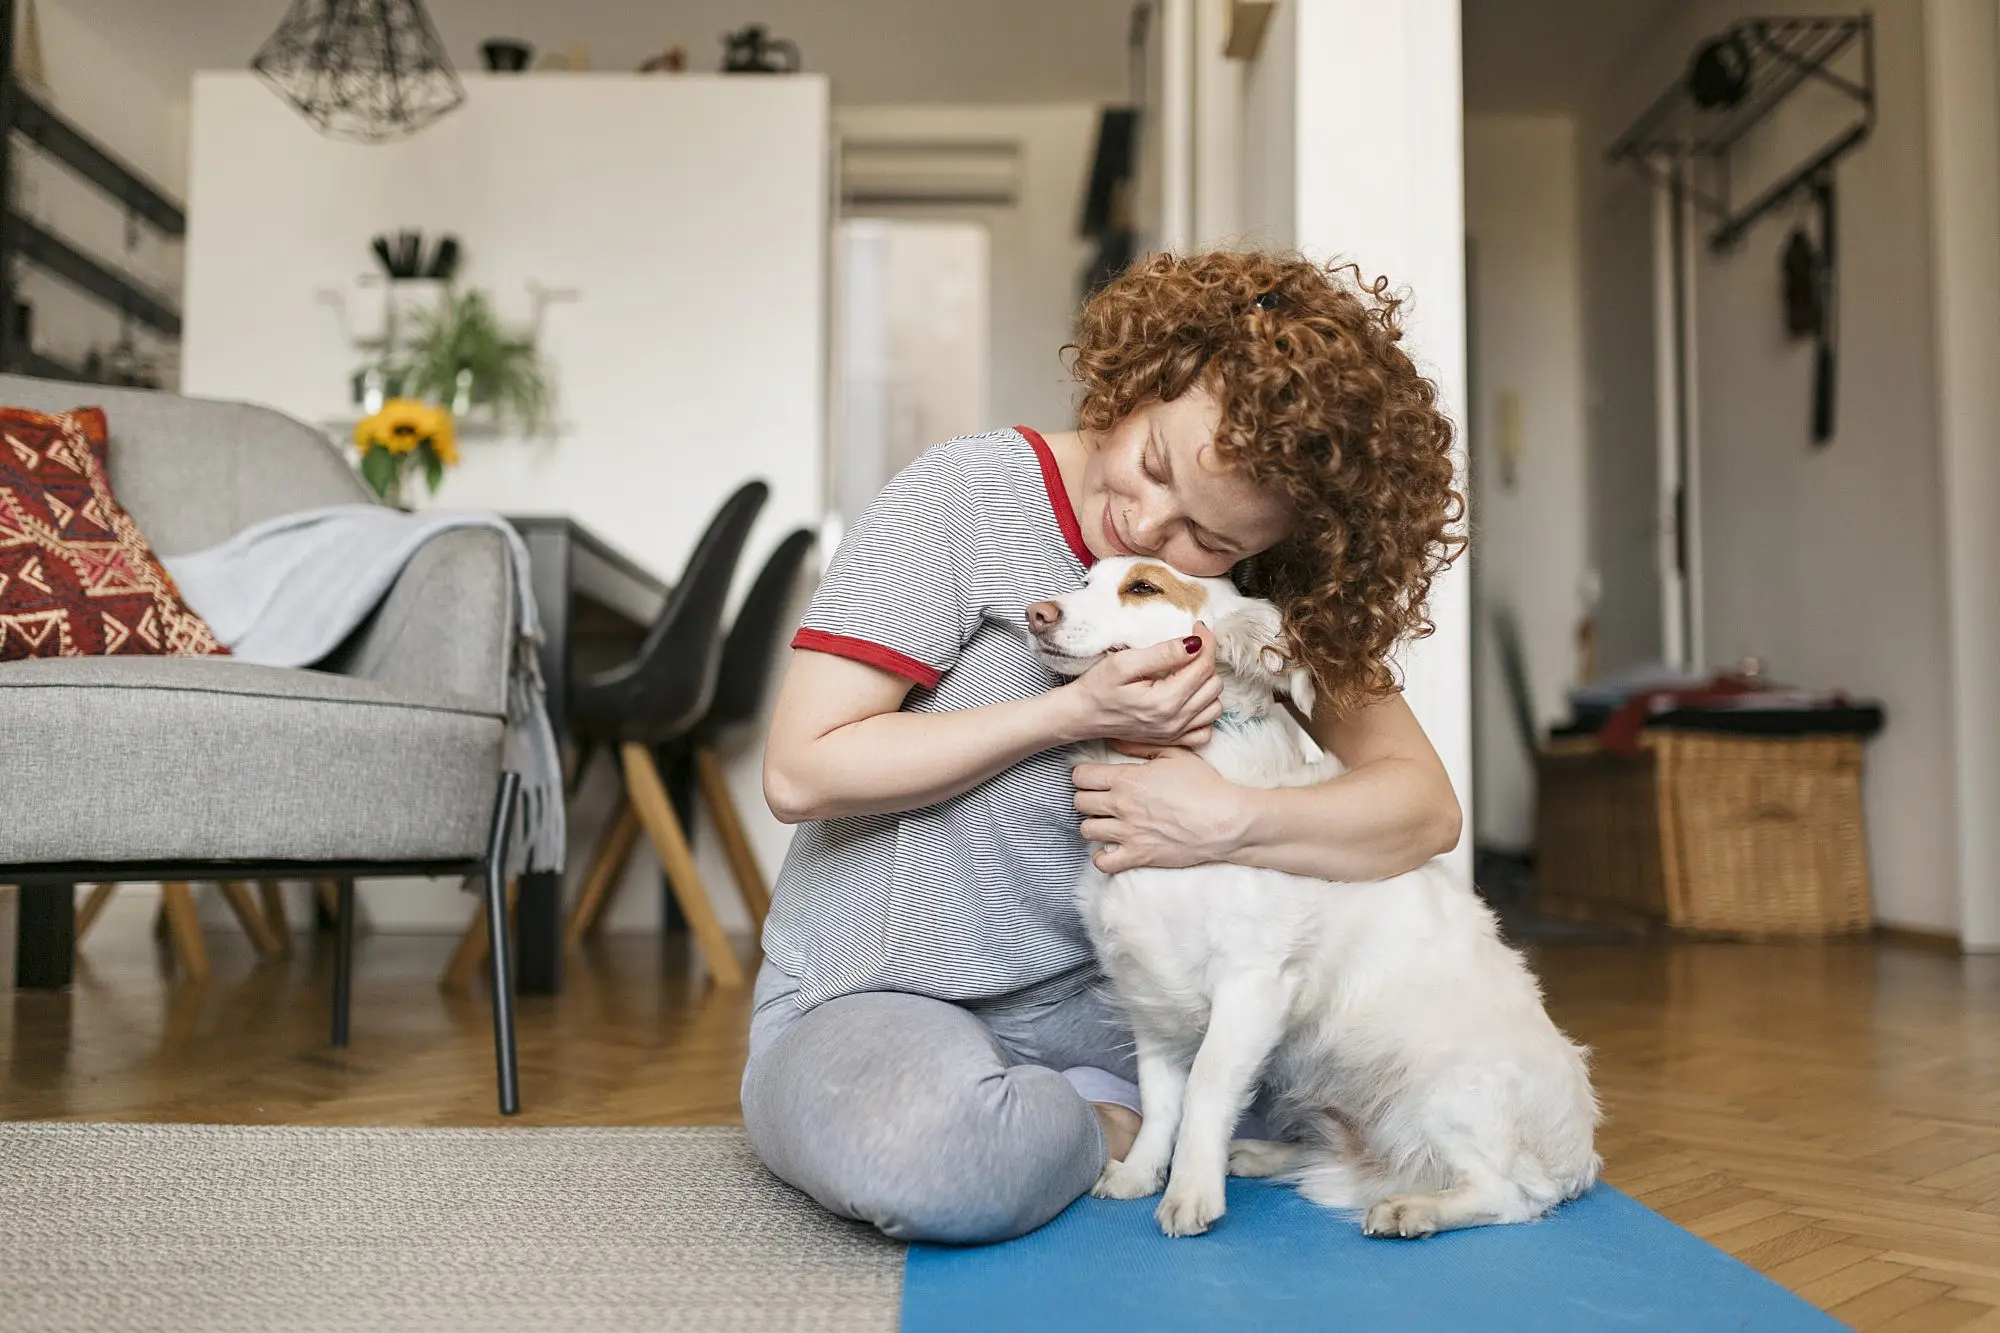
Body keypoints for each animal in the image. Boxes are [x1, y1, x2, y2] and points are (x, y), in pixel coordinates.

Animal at [1024, 552, 1600, 1232]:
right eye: (1087, 581)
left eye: (1143, 587)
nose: (1038, 614)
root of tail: (1579, 1160)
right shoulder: (1151, 1001)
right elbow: (1161, 1101)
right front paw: (1141, 1173)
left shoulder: (1251, 985)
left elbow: (1204, 1091)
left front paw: (1190, 1191)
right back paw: (1261, 1154)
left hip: (1446, 1092)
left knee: (1506, 1196)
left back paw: (1412, 1209)